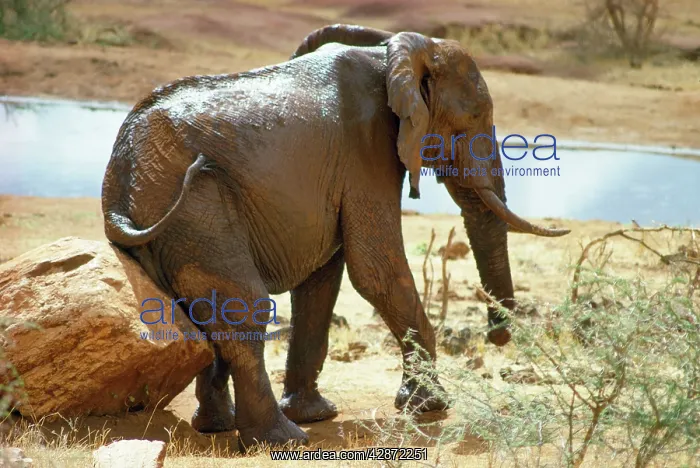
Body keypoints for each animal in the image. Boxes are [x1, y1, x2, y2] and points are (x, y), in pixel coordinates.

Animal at [101, 23, 570, 450]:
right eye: (475, 117)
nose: (497, 336)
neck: (392, 52)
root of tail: (118, 180)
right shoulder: (368, 148)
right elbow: (374, 269)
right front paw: (430, 406)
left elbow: (323, 279)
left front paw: (318, 413)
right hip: (197, 204)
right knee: (243, 304)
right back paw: (282, 441)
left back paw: (219, 425)